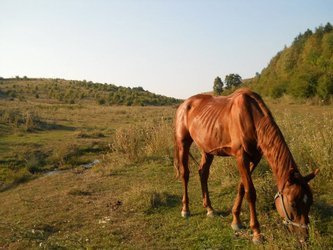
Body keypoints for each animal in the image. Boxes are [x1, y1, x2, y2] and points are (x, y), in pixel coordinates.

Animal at [172, 88, 318, 244]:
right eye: (292, 203)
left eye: (310, 202)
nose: (304, 237)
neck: (251, 117)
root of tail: (183, 105)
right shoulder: (241, 157)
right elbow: (250, 192)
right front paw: (256, 233)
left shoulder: (255, 158)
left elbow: (242, 187)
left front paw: (236, 220)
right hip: (183, 143)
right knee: (185, 174)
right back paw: (185, 209)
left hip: (208, 150)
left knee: (203, 173)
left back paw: (209, 209)